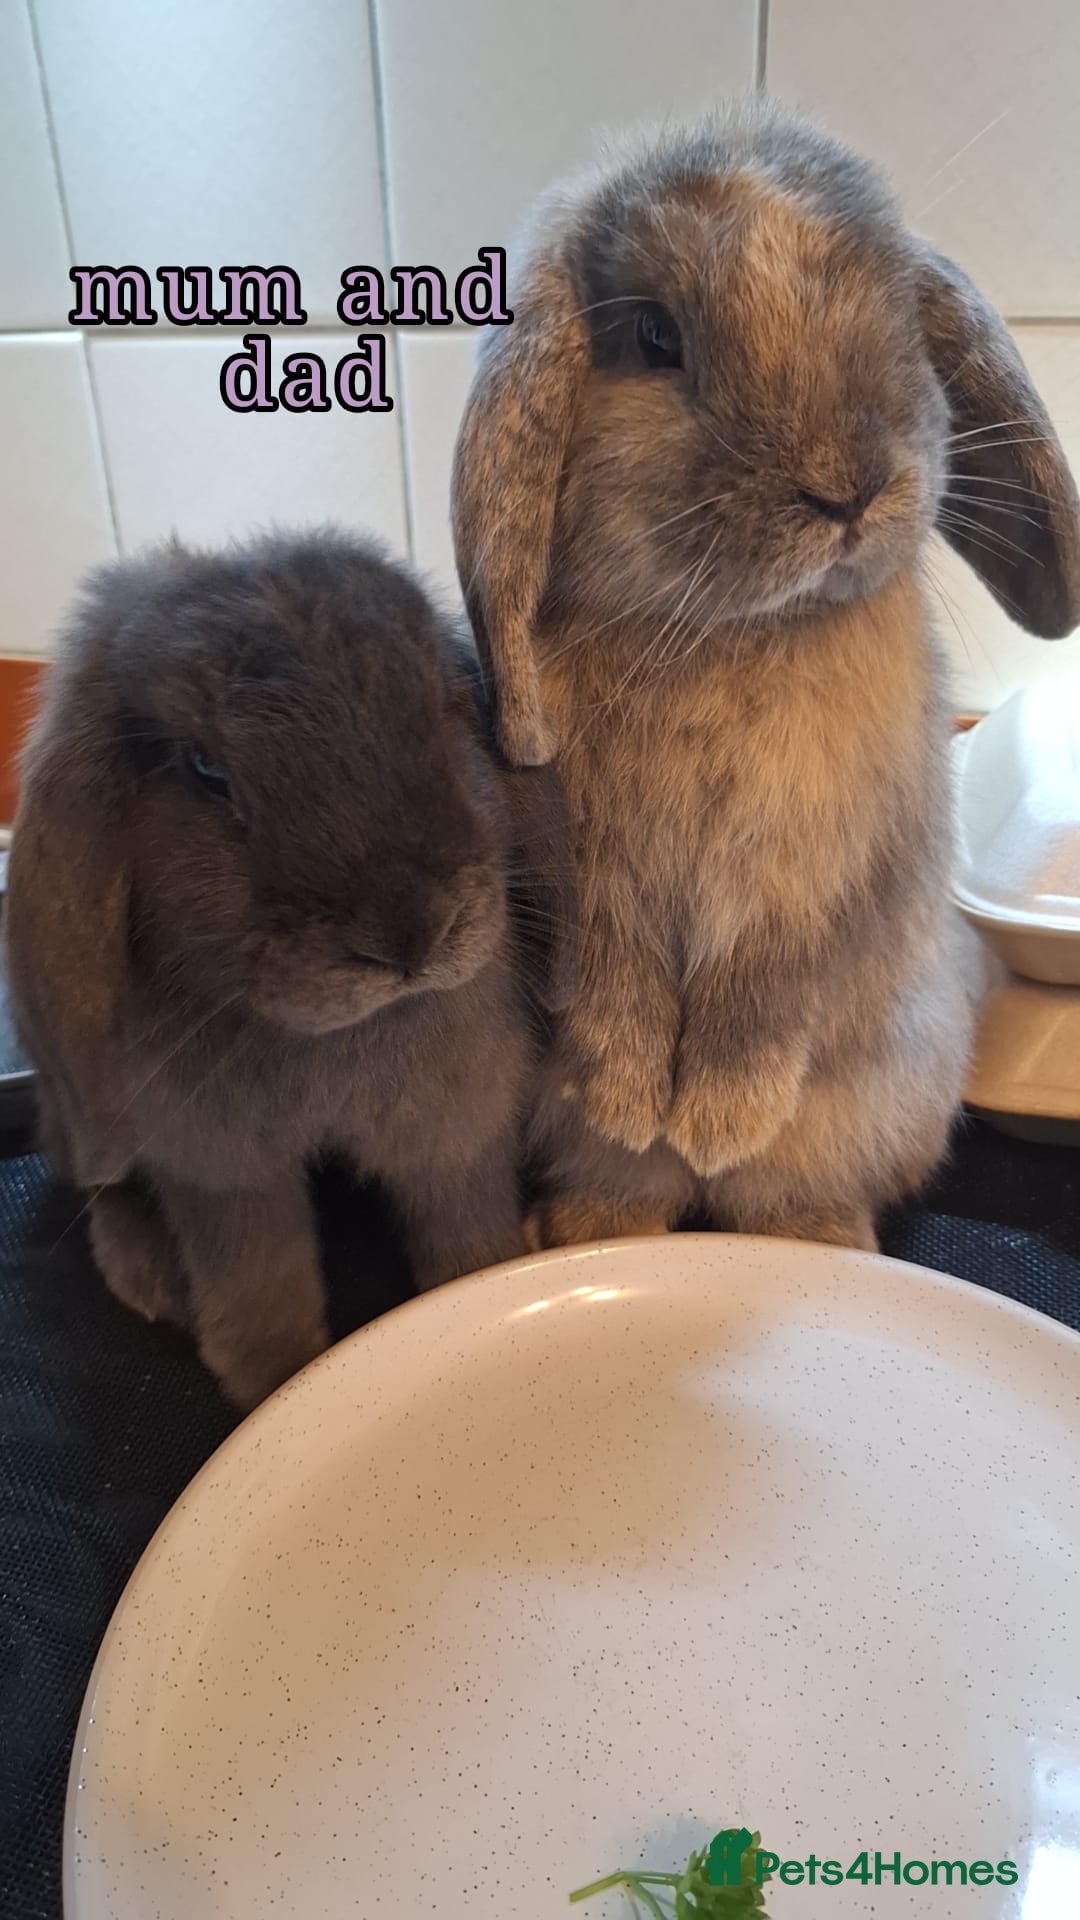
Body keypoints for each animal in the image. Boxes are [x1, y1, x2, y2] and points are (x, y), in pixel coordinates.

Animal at [4, 529, 576, 1408]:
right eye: (205, 769)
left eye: (442, 710)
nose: (409, 934)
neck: (330, 1041)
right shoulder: (222, 1166)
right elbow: (257, 1276)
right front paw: (273, 1381)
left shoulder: (451, 1126)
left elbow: (461, 1225)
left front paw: (477, 1289)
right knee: (106, 1184)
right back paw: (148, 1275)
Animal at [451, 99, 1080, 1255]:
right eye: (654, 337)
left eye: (902, 321)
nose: (849, 490)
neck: (726, 632)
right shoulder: (593, 878)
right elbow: (614, 982)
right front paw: (628, 1098)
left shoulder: (815, 881)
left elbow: (766, 993)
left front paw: (715, 1119)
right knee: (629, 1185)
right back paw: (593, 1231)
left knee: (783, 1192)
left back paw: (806, 1237)